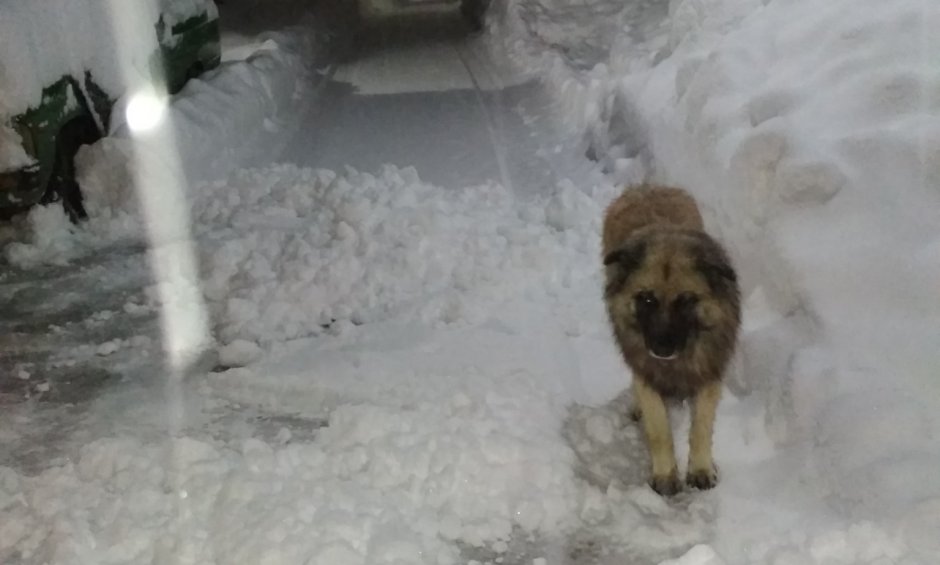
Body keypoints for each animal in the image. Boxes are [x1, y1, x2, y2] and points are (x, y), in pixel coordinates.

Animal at [604, 184, 740, 494]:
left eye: (686, 301)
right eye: (647, 299)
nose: (662, 349)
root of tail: (647, 187)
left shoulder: (709, 371)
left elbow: (701, 426)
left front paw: (701, 469)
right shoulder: (646, 370)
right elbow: (658, 428)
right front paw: (666, 475)